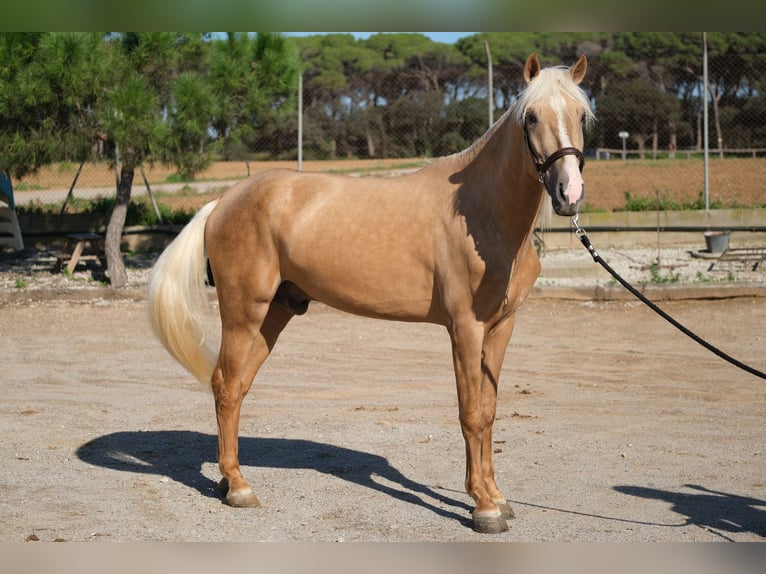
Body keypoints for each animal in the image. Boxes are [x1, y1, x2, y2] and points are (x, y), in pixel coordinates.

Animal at [148, 54, 592, 536]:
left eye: (581, 114)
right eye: (531, 117)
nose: (569, 194)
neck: (481, 213)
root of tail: (222, 202)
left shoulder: (501, 328)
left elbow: (489, 411)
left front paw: (496, 497)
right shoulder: (465, 328)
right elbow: (471, 413)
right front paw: (483, 509)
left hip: (275, 314)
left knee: (237, 386)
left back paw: (228, 483)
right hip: (243, 312)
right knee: (226, 386)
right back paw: (239, 487)